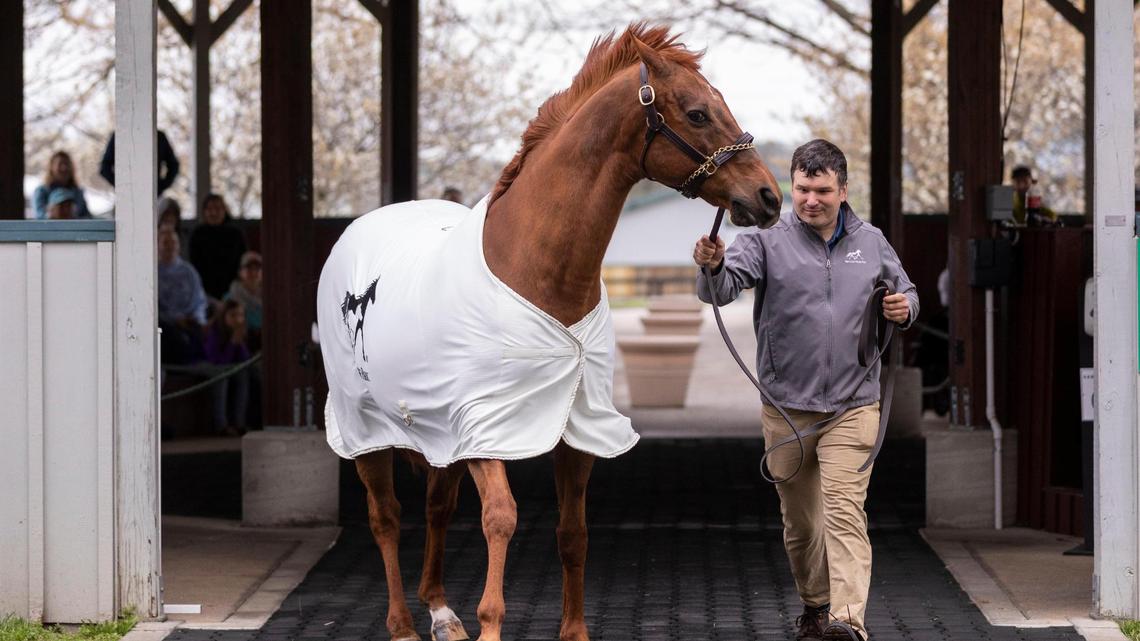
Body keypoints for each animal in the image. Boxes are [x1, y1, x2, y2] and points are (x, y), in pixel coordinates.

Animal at [317, 23, 783, 641]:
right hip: (366, 428)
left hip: (441, 433)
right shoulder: (485, 427)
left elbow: (572, 533)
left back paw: (441, 612)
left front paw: (573, 630)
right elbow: (501, 519)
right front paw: (491, 624)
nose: (769, 197)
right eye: (698, 112)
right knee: (386, 518)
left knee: (437, 508)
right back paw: (402, 624)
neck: (537, 268)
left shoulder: (577, 430)